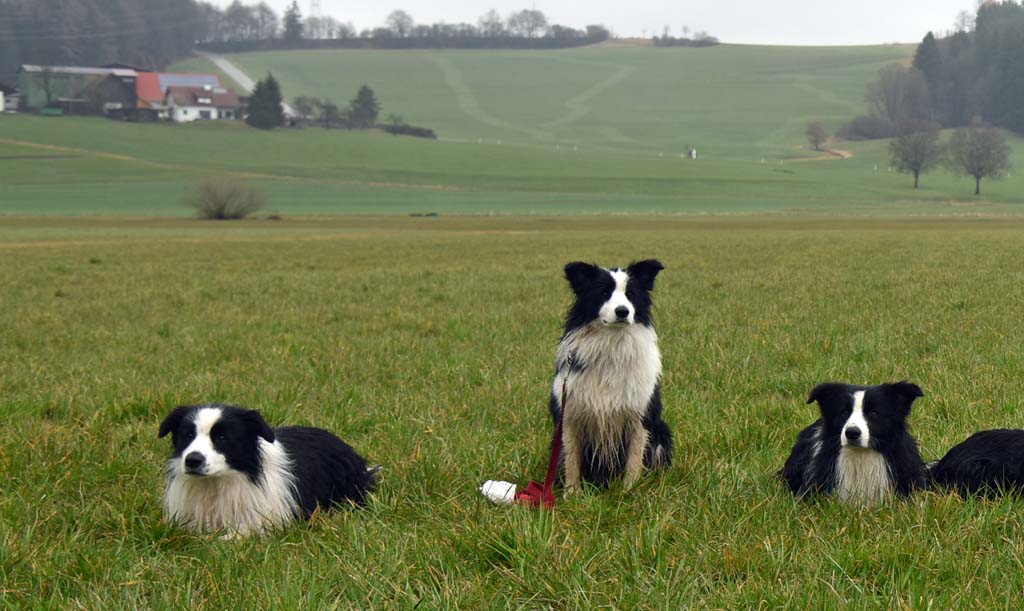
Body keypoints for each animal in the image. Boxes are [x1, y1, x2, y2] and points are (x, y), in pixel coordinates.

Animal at [552, 258, 671, 495]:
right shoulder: (569, 416)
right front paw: (572, 494)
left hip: (662, 430)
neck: (612, 347)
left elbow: (634, 460)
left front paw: (628, 492)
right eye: (605, 292)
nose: (623, 311)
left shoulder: (640, 416)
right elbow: (571, 460)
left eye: (631, 294)